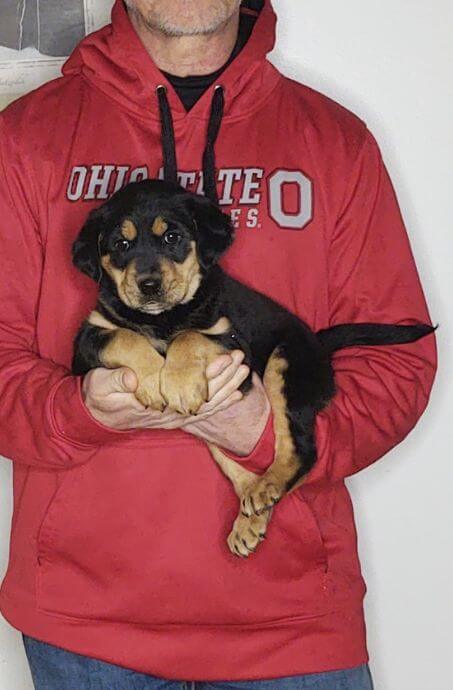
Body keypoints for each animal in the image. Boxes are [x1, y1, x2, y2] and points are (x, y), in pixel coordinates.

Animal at [72, 177, 432, 552]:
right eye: (121, 244)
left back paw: (265, 488)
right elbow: (124, 336)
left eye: (172, 237)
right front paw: (156, 378)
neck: (162, 319)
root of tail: (319, 345)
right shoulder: (86, 341)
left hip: (285, 367)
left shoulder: (231, 342)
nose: (149, 286)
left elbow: (190, 336)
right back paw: (251, 517)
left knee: (301, 450)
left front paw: (177, 382)